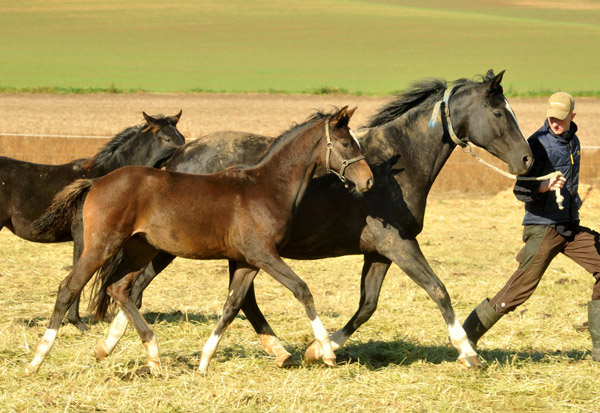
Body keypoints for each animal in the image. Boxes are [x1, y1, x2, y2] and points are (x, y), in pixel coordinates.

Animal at [29, 106, 376, 374]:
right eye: (346, 143)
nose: (368, 180)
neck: (266, 187)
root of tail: (96, 182)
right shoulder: (263, 254)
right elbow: (302, 290)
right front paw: (326, 352)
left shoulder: (247, 261)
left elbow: (232, 306)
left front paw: (204, 362)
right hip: (102, 246)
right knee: (69, 287)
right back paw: (37, 359)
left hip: (140, 248)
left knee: (120, 288)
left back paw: (150, 354)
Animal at [91, 68, 532, 366]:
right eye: (498, 112)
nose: (528, 160)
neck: (399, 163)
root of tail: (178, 155)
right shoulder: (398, 244)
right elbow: (438, 290)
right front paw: (468, 352)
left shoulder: (379, 253)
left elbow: (367, 305)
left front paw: (319, 349)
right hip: (171, 247)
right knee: (139, 285)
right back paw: (118, 343)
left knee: (226, 297)